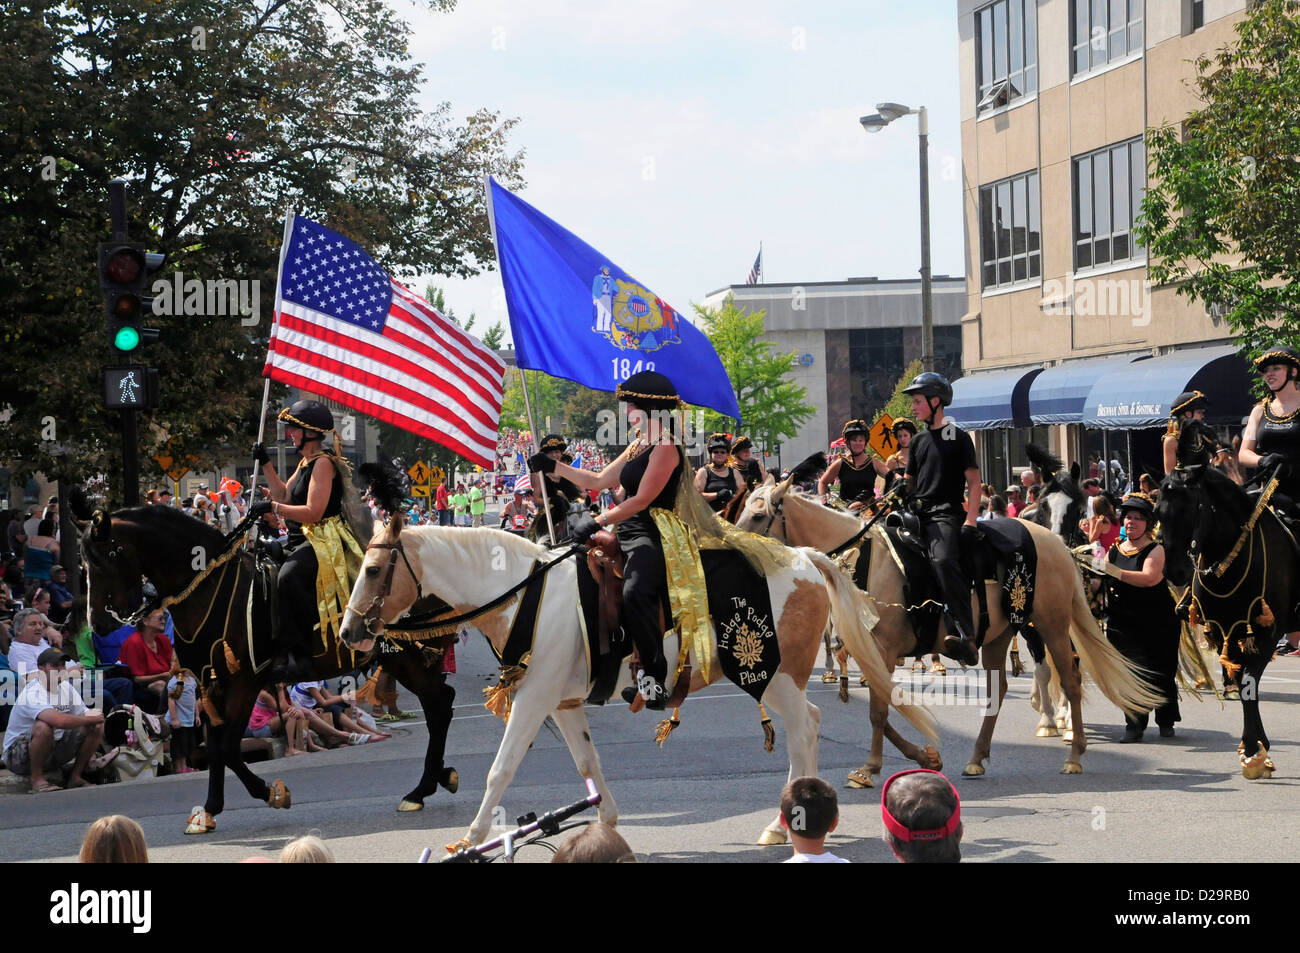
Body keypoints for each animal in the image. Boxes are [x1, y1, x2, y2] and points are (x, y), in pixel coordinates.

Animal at [74, 501, 462, 826]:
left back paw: (422, 787)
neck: (210, 589)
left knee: (439, 706)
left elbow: (228, 748)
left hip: (405, 657)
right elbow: (216, 746)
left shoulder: (243, 683)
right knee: (440, 704)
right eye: (83, 565)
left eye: (105, 559)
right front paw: (210, 809)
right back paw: (435, 779)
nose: (98, 623)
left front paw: (271, 792)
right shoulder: (210, 683)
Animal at [340, 517, 941, 842]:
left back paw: (786, 822)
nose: (348, 632)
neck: (525, 592)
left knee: (806, 728)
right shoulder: (561, 703)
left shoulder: (532, 699)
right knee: (807, 726)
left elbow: (500, 769)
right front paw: (606, 823)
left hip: (772, 675)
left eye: (373, 570)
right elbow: (588, 763)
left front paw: (470, 837)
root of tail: (805, 559)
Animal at [738, 478, 1164, 785]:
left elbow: (879, 711)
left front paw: (871, 768)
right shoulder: (869, 654)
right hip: (999, 634)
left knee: (1070, 680)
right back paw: (977, 758)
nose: (734, 552)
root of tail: (1055, 542)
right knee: (998, 690)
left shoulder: (884, 651)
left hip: (1051, 625)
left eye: (758, 516)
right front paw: (924, 756)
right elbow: (884, 710)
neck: (865, 562)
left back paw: (1074, 754)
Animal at [1159, 426, 1300, 774]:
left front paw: (1253, 751)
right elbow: (1242, 680)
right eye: (1158, 511)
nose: (1175, 571)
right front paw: (1257, 746)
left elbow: (1248, 682)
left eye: (1190, 508)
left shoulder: (1267, 631)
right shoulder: (1226, 630)